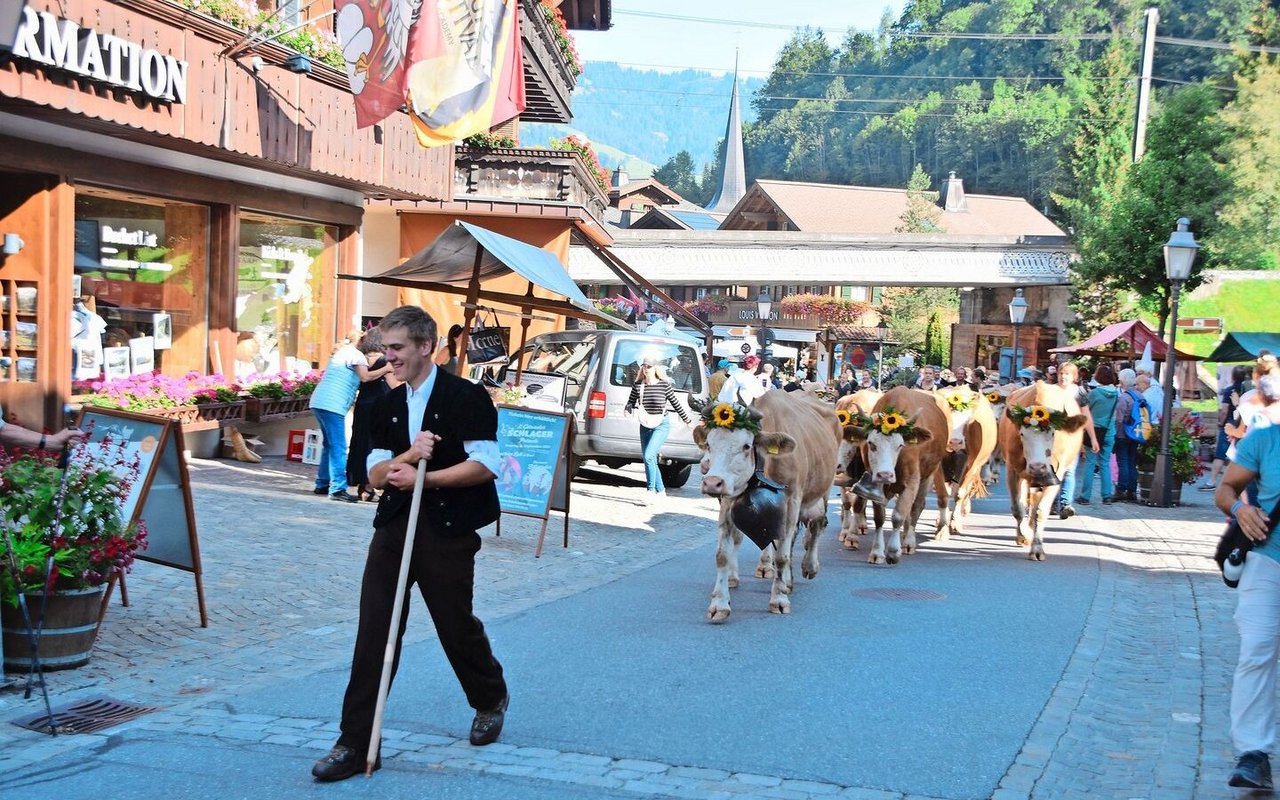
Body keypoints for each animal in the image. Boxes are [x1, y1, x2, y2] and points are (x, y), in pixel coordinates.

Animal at [691, 389, 839, 622]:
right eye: (709, 444)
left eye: (746, 446)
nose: (712, 482)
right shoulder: (728, 499)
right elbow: (723, 554)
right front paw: (719, 604)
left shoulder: (792, 501)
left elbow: (782, 555)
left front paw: (778, 599)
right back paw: (788, 580)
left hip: (823, 490)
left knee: (817, 524)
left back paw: (809, 567)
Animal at [834, 389, 885, 547]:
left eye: (849, 443)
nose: (836, 466)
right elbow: (846, 502)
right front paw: (845, 531)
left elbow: (857, 503)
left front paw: (851, 536)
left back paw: (861, 525)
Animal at [931, 386, 998, 537]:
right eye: (946, 417)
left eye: (968, 420)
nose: (955, 442)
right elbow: (943, 494)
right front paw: (942, 527)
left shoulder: (971, 465)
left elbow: (960, 493)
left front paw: (954, 523)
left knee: (963, 490)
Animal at [998, 378, 1090, 555]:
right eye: (1022, 434)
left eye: (1053, 433)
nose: (1037, 467)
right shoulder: (1012, 471)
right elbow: (1018, 508)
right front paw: (1023, 536)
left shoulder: (1055, 476)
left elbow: (1041, 511)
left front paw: (1037, 548)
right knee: (1026, 503)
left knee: (1034, 504)